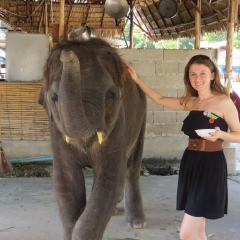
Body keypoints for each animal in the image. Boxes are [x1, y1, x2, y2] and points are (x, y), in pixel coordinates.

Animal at [39, 38, 146, 239]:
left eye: (111, 94)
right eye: (55, 97)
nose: (67, 54)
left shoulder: (118, 124)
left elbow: (110, 179)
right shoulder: (56, 131)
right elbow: (66, 181)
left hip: (142, 116)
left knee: (132, 168)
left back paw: (137, 223)